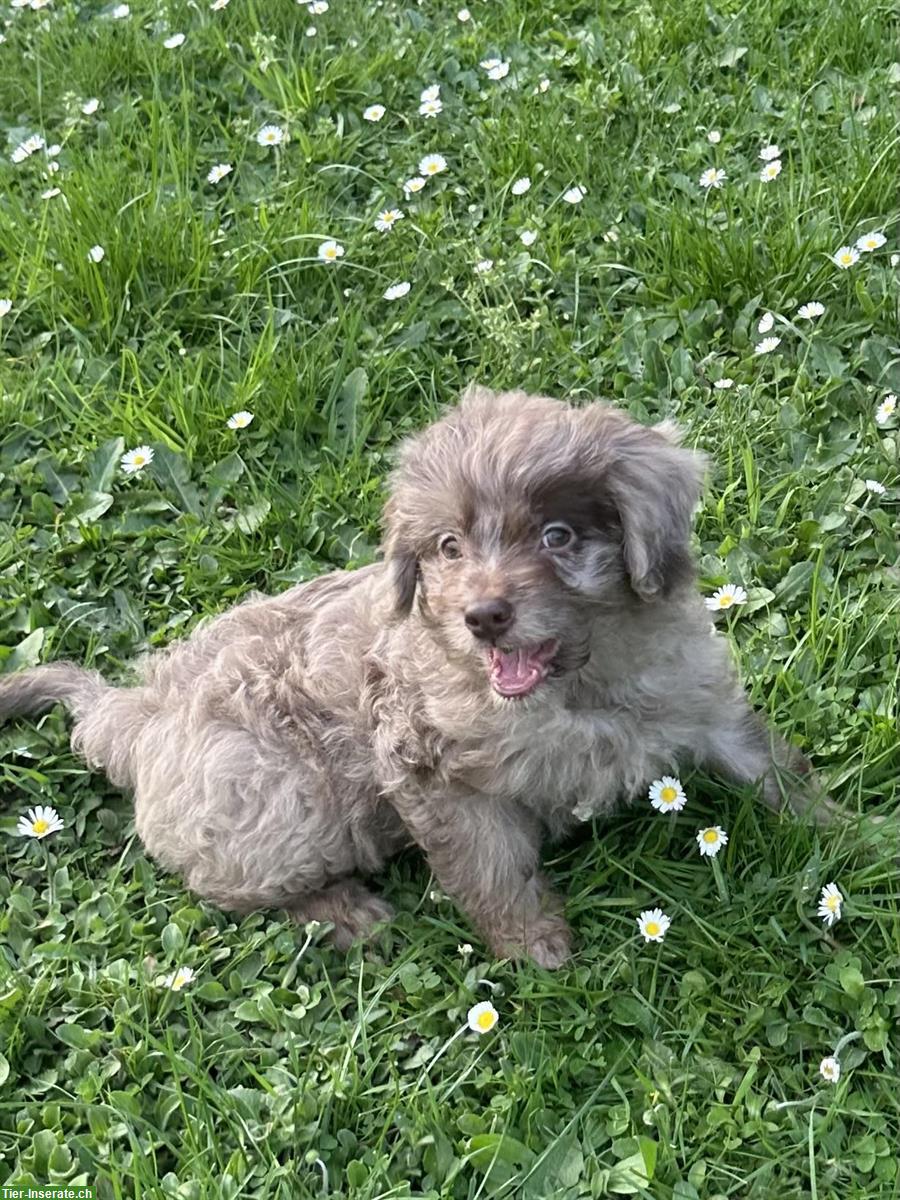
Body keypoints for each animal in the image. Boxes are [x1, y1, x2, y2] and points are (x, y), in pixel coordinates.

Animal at [0, 388, 835, 969]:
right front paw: (532, 946)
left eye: (557, 536)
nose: (483, 617)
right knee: (235, 888)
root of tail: (134, 716)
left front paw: (842, 833)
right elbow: (490, 868)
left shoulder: (701, 699)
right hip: (280, 799)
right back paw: (342, 912)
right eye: (448, 547)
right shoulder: (435, 772)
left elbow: (774, 765)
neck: (577, 684)